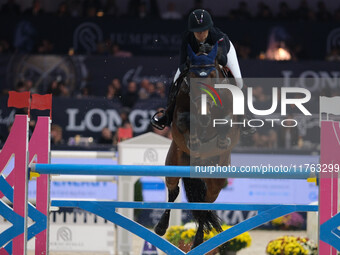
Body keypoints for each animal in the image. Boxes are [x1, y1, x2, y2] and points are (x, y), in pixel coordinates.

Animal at [155, 43, 240, 249]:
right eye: (191, 77)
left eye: (213, 75)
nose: (204, 112)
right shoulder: (179, 115)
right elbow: (186, 120)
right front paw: (195, 138)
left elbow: (225, 122)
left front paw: (221, 140)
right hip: (173, 164)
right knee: (173, 192)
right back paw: (161, 227)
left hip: (216, 182)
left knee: (203, 206)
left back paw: (198, 240)